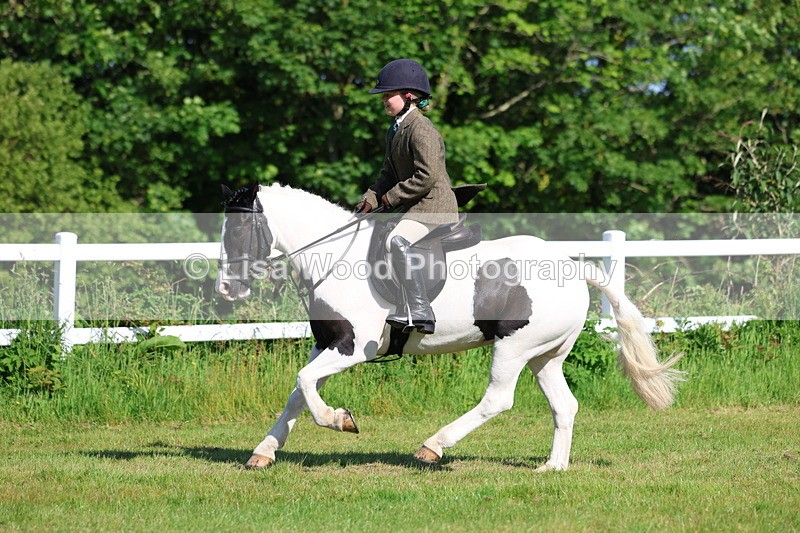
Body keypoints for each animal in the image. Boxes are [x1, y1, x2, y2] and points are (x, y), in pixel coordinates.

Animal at [216, 183, 684, 471]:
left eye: (237, 229)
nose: (226, 288)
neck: (334, 257)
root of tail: (574, 267)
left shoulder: (352, 347)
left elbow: (304, 383)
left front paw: (340, 420)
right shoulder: (327, 344)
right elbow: (298, 392)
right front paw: (263, 452)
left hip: (514, 346)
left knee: (497, 400)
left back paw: (432, 446)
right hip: (546, 355)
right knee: (564, 405)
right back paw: (553, 466)